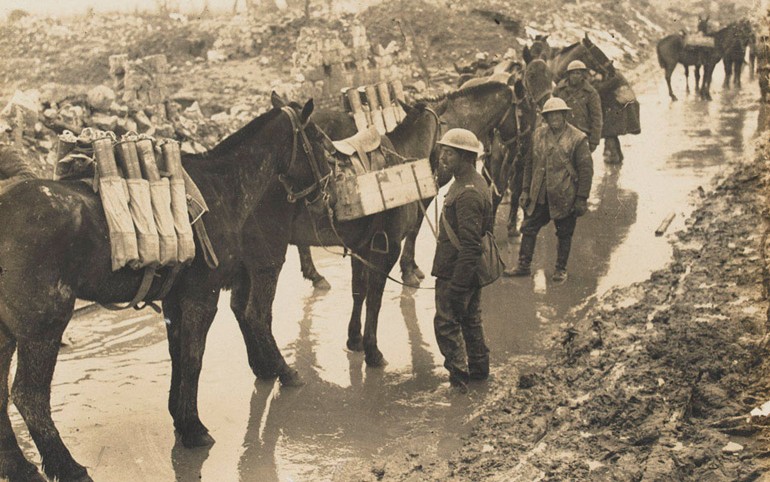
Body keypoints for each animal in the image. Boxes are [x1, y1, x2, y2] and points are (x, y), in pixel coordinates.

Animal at [0, 99, 330, 482]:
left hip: (7, 333)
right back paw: (67, 467)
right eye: (317, 138)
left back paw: (18, 466)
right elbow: (194, 358)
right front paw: (194, 429)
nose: (326, 186)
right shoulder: (203, 297)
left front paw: (180, 418)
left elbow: (178, 356)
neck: (223, 187)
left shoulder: (175, 301)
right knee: (30, 397)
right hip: (43, 329)